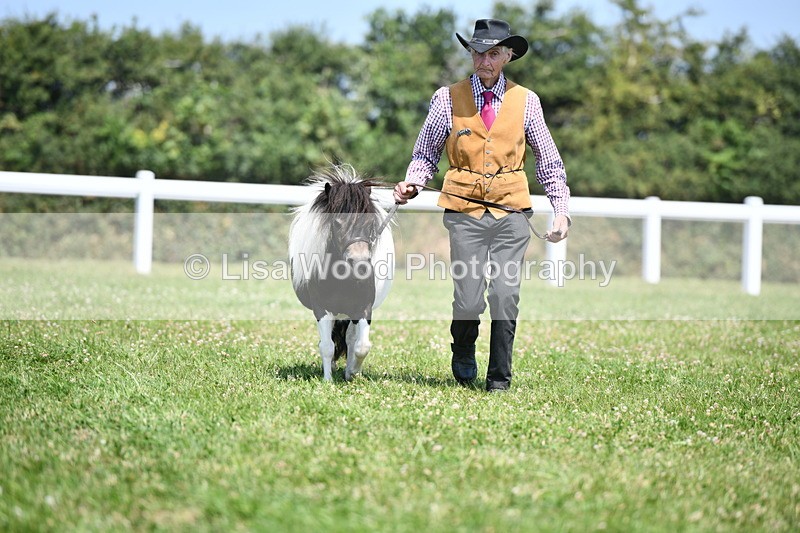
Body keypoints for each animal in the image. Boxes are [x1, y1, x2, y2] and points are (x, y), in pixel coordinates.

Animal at [288, 164, 394, 381]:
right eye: (336, 222)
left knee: (351, 339)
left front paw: (353, 372)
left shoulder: (364, 308)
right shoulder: (321, 309)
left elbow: (361, 346)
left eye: (369, 223)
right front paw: (328, 380)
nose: (360, 263)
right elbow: (327, 346)